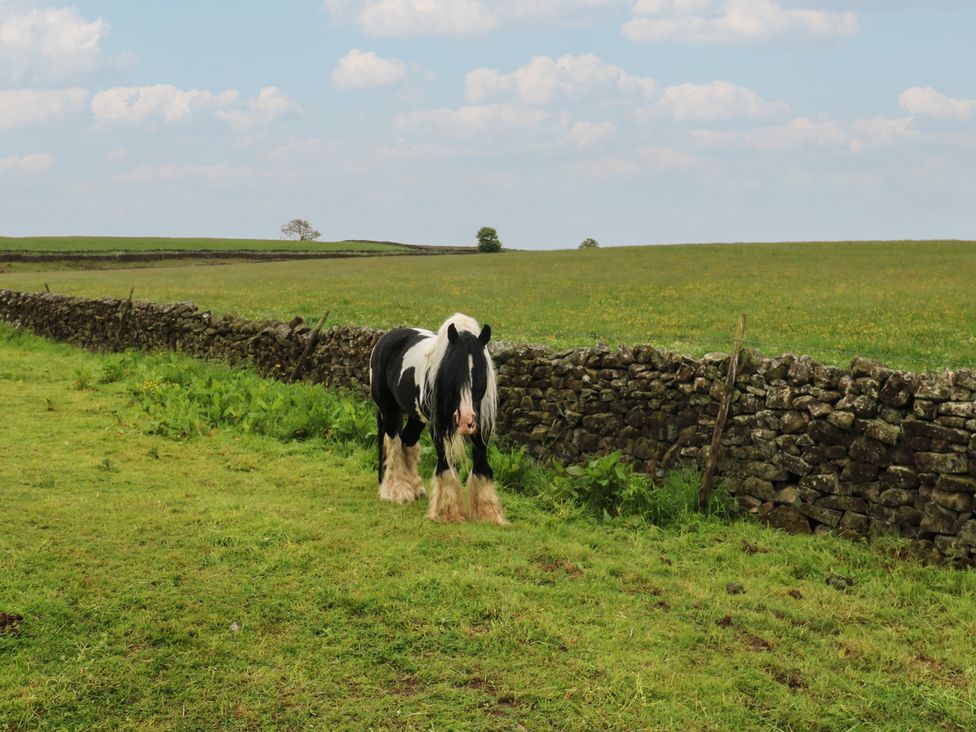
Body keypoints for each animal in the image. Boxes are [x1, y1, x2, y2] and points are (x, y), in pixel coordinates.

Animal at [369, 313, 507, 524]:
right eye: (452, 371)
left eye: (480, 372)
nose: (466, 419)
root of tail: (385, 339)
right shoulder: (439, 428)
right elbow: (444, 465)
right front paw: (447, 512)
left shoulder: (480, 428)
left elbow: (482, 464)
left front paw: (488, 513)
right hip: (388, 410)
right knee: (393, 445)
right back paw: (397, 490)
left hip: (416, 417)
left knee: (408, 442)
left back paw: (415, 488)